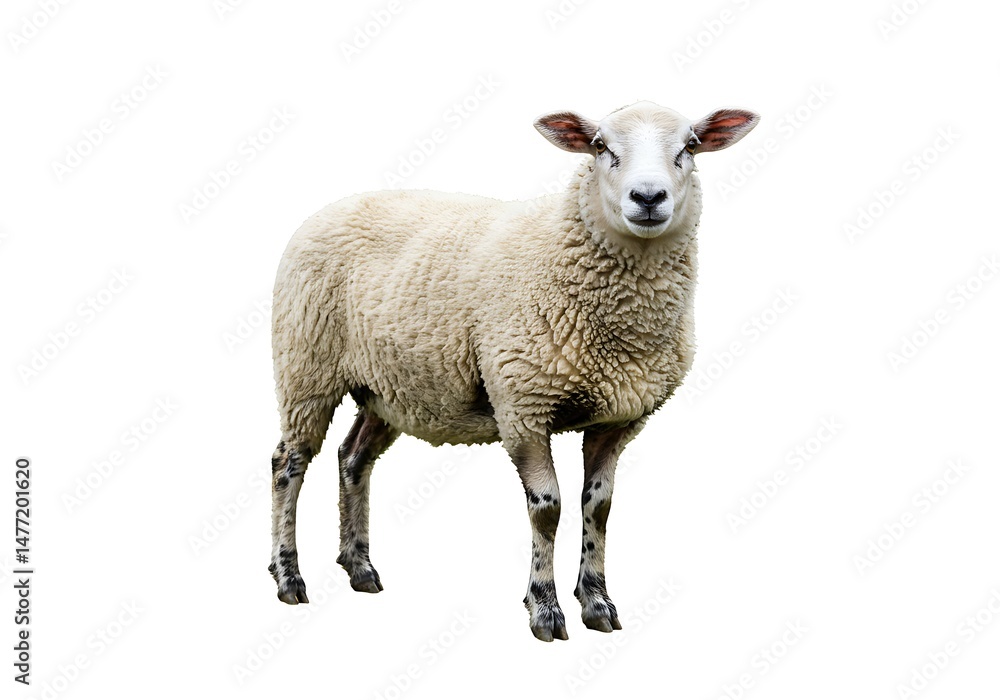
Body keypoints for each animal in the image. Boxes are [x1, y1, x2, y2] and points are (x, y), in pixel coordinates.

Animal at [268, 100, 759, 641]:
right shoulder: (521, 405)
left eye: (689, 146)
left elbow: (598, 507)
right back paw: (288, 576)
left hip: (388, 384)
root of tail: (332, 207)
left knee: (353, 459)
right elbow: (548, 508)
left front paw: (597, 602)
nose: (648, 197)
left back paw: (359, 567)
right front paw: (544, 607)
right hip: (306, 366)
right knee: (288, 465)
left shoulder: (617, 419)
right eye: (600, 146)